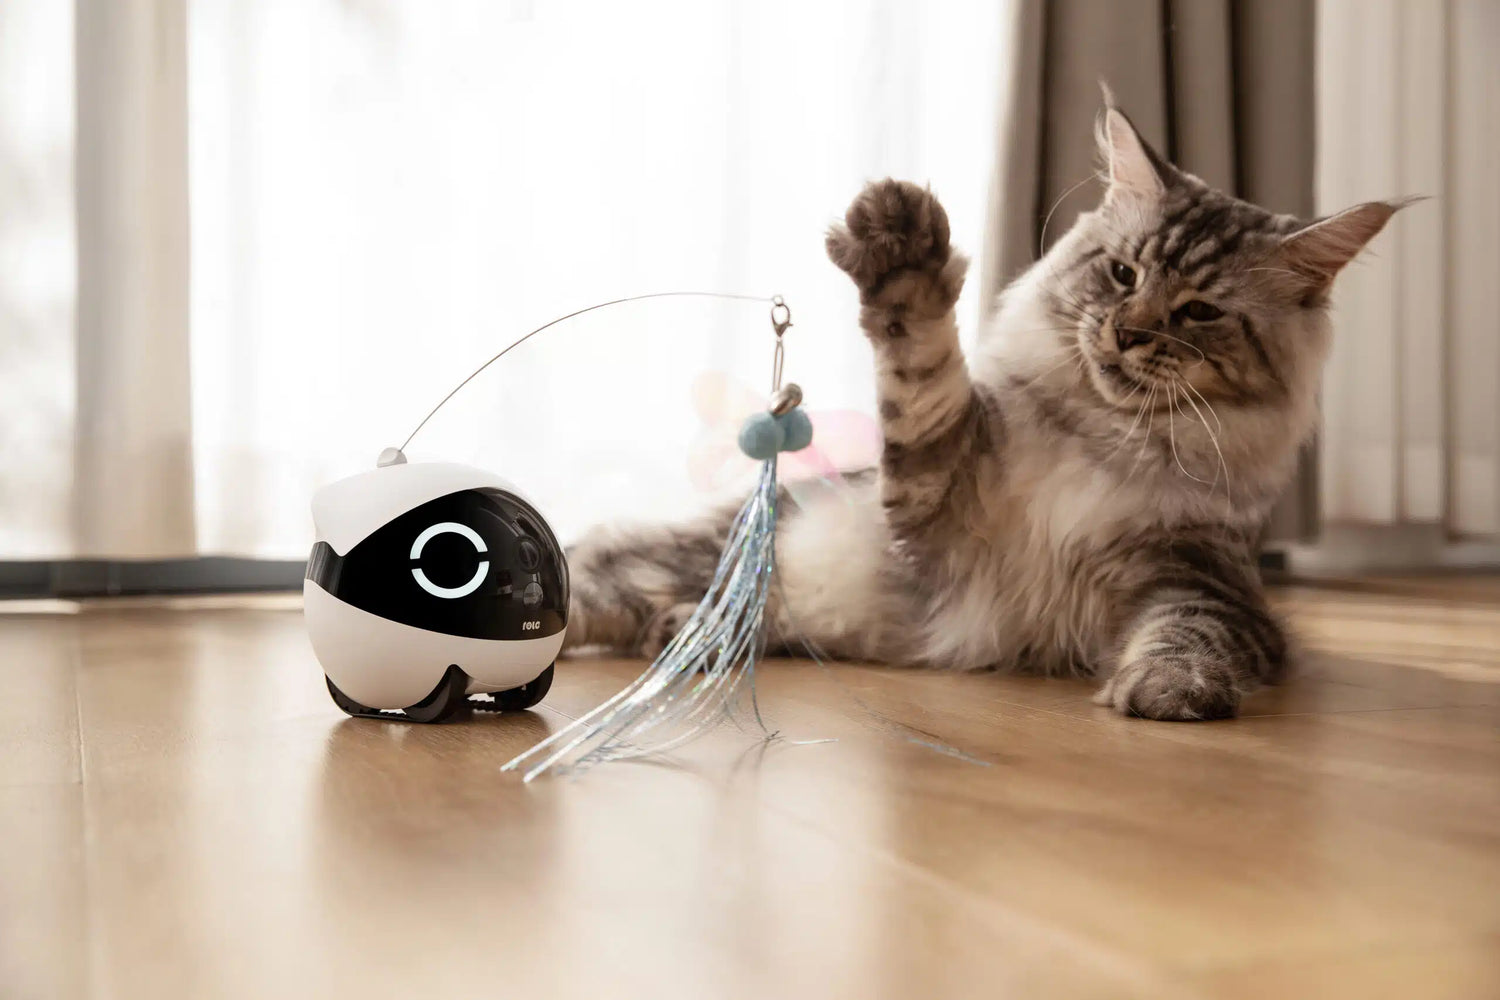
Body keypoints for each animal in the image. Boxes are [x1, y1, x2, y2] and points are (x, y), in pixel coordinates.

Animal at [561, 100, 1405, 720]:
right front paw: (901, 251)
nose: (1126, 333)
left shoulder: (1205, 580)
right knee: (580, 587)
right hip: (677, 564)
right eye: (1122, 274)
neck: (1105, 439)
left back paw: (689, 634)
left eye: (1198, 311)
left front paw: (1166, 691)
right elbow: (924, 366)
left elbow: (1186, 632)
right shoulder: (935, 499)